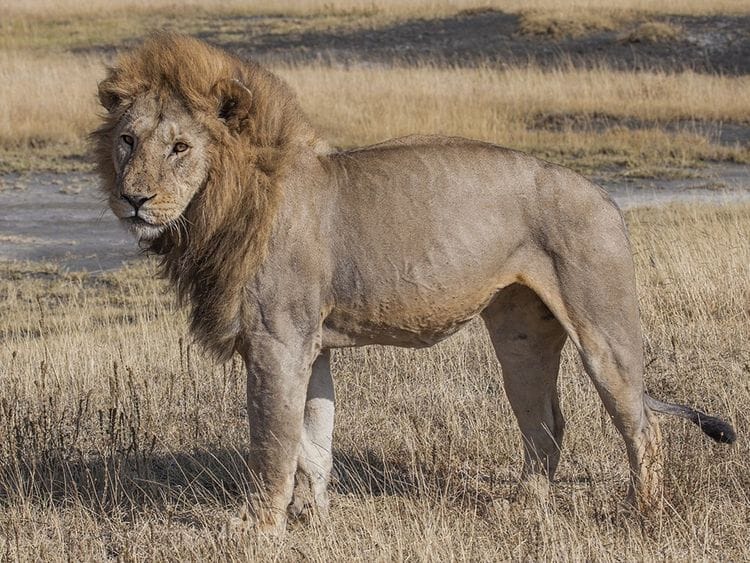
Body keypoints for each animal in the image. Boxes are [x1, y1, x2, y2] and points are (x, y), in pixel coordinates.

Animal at [93, 33, 735, 533]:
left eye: (180, 147)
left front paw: (259, 527)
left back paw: (641, 515)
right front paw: (310, 518)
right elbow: (312, 441)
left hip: (604, 332)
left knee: (643, 426)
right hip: (520, 337)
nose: (133, 198)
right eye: (128, 140)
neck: (218, 208)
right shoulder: (309, 345)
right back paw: (520, 511)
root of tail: (605, 197)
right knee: (547, 426)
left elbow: (271, 441)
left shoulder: (277, 342)